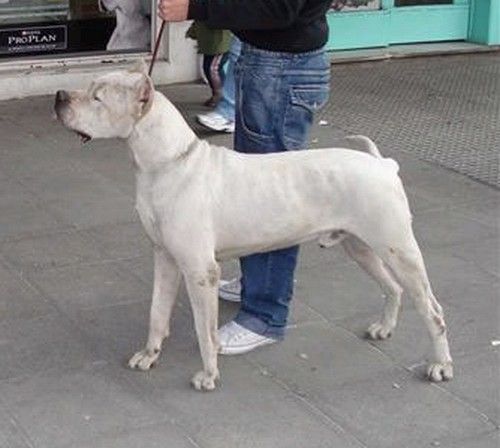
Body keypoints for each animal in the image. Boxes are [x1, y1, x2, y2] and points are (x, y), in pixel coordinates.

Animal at [54, 62, 453, 391]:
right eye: (91, 87)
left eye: (97, 97)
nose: (59, 96)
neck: (166, 163)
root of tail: (383, 164)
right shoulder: (165, 258)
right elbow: (156, 313)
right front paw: (149, 355)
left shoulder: (200, 272)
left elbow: (204, 330)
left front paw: (209, 374)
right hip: (360, 247)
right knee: (393, 288)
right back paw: (385, 328)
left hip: (399, 249)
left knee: (432, 310)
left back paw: (440, 365)